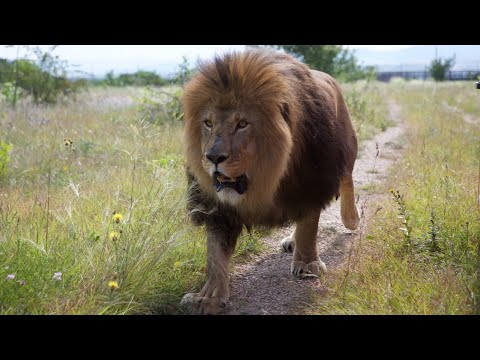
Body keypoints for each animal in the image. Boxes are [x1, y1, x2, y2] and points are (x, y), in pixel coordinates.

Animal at [181, 49, 360, 314]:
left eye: (242, 124)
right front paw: (208, 297)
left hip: (347, 146)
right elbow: (215, 255)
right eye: (208, 123)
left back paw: (351, 219)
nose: (213, 157)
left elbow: (309, 226)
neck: (265, 180)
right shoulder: (218, 208)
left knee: (347, 179)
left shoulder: (311, 181)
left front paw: (307, 264)